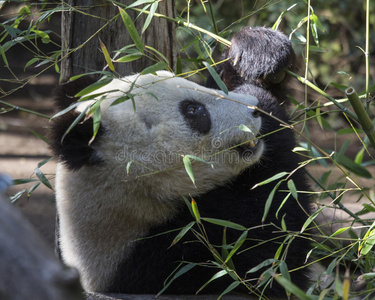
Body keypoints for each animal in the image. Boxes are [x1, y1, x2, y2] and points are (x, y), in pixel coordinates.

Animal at [50, 27, 314, 298]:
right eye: (193, 110)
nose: (254, 109)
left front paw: (258, 51)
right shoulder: (177, 255)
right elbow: (273, 249)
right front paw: (262, 98)